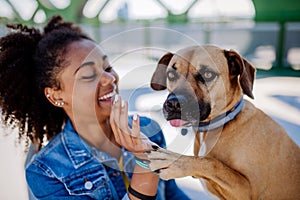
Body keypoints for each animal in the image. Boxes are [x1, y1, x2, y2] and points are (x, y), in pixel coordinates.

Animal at [148, 45, 300, 200]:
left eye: (208, 74)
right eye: (171, 74)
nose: (174, 104)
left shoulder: (247, 190)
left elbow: (213, 163)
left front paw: (173, 160)